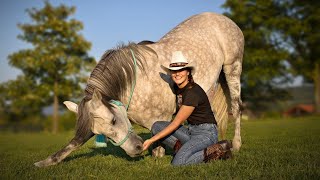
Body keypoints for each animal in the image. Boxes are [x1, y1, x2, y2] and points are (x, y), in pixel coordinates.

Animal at [34, 12, 242, 167]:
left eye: (113, 120)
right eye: (101, 134)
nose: (136, 148)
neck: (136, 81)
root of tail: (222, 18)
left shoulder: (162, 116)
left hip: (233, 68)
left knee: (237, 107)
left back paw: (236, 144)